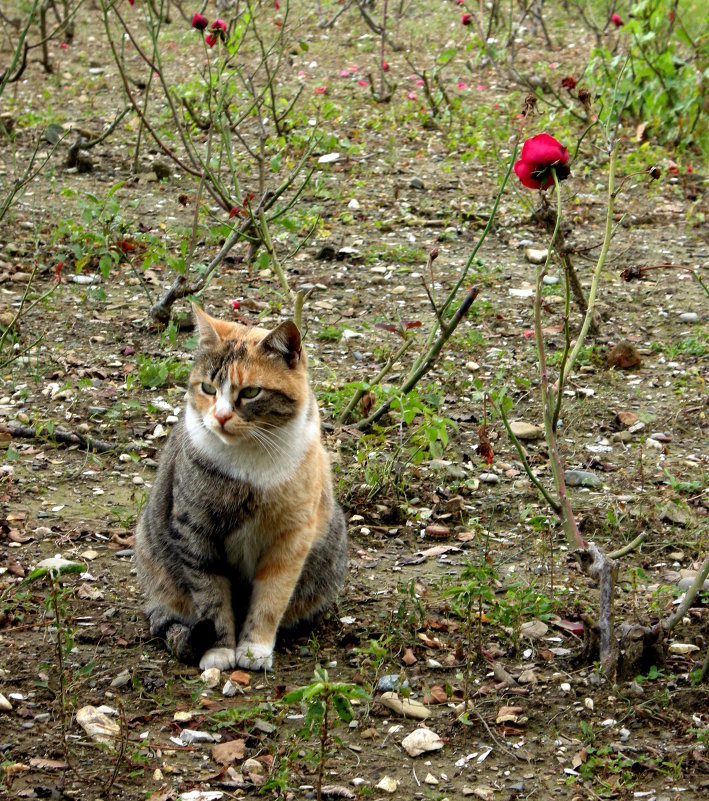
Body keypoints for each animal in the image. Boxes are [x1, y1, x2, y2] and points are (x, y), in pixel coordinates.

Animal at [134, 304, 348, 668]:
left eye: (249, 392)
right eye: (208, 388)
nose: (220, 417)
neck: (250, 463)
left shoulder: (291, 537)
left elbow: (271, 597)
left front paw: (254, 647)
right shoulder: (195, 531)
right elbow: (212, 598)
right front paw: (220, 650)